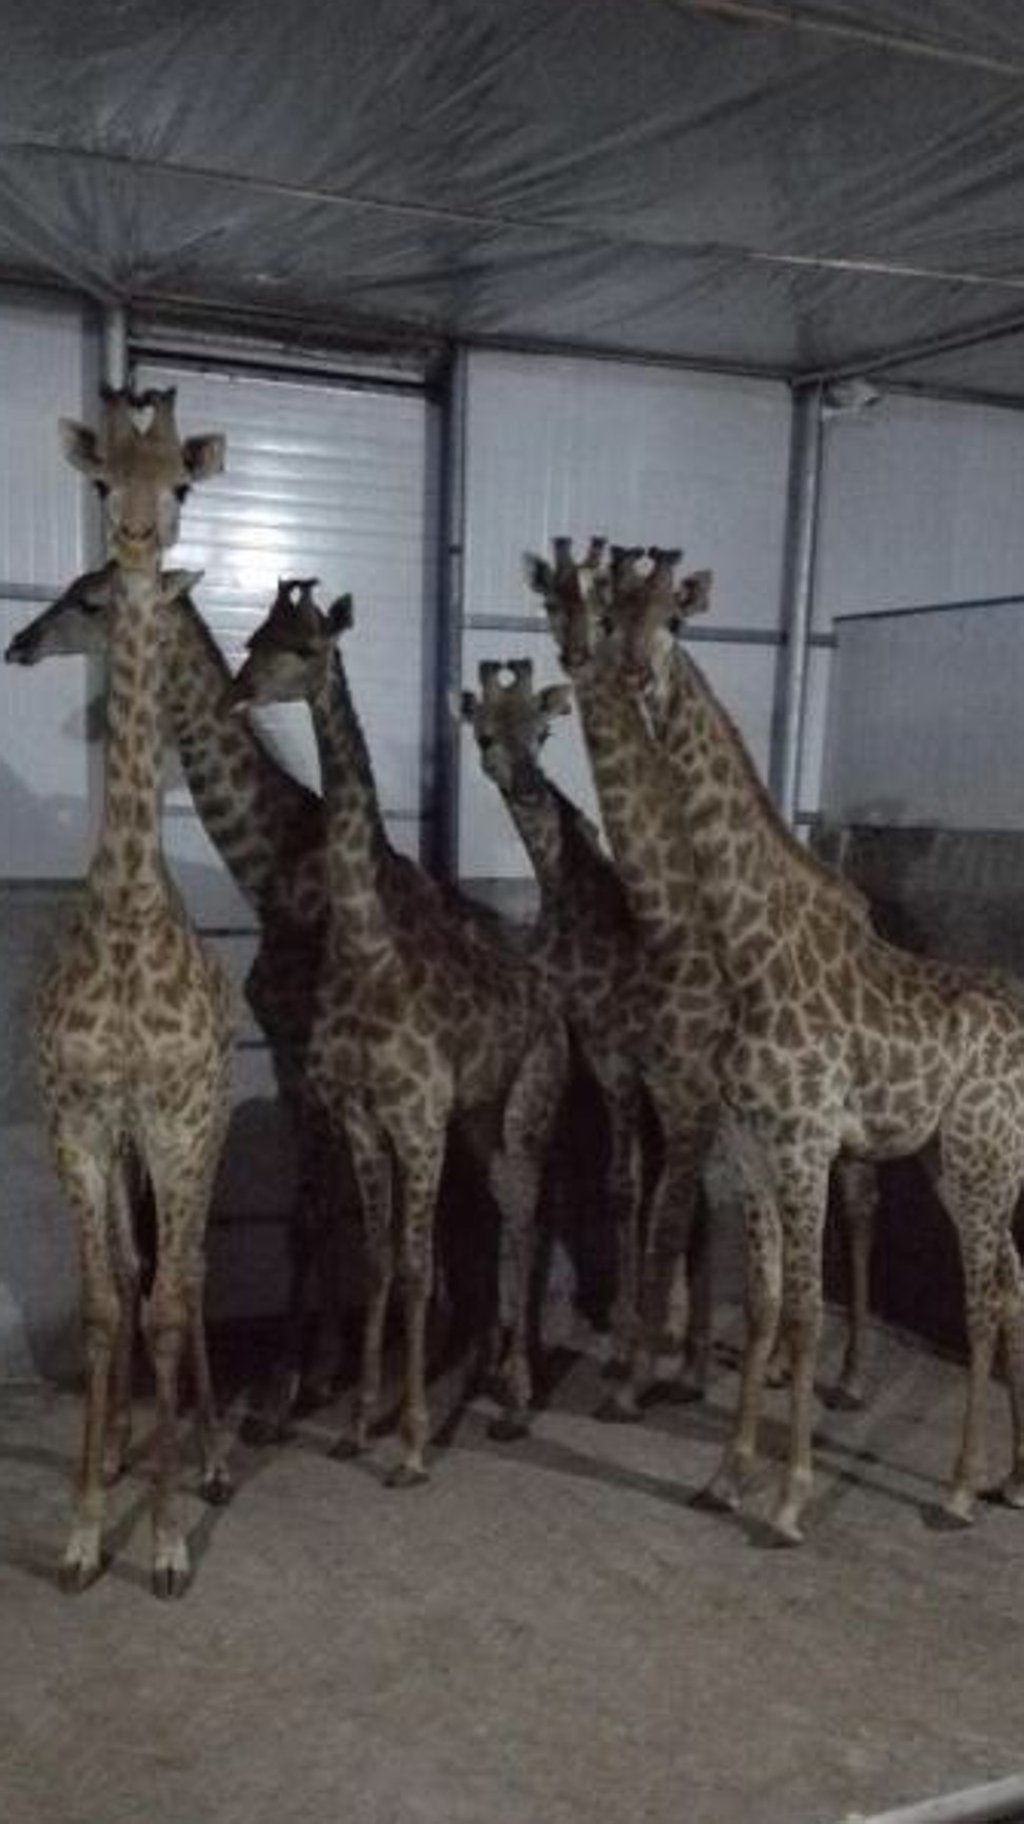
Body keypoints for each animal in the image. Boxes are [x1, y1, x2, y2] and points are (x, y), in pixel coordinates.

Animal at [6, 567, 352, 1431]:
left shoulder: (299, 1057)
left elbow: (308, 1213)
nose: (19, 642)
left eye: (88, 602)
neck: (272, 870)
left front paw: (279, 1390)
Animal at [230, 581, 570, 1483]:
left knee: (526, 1215)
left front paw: (412, 1442)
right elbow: (379, 1261)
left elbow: (416, 1269)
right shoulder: (358, 1115)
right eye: (253, 636)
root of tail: (548, 992)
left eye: (305, 648)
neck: (363, 948)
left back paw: (516, 1399)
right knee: (505, 1210)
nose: (241, 690)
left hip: (529, 1107)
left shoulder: (416, 1120)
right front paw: (357, 1424)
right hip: (480, 1117)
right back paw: (499, 1383)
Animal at [459, 656, 712, 1389]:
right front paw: (526, 1345)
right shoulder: (566, 1039)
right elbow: (553, 1190)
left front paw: (627, 1336)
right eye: (485, 734)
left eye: (543, 732)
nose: (525, 785)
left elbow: (622, 1187)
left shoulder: (611, 1047)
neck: (566, 894)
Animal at [593, 543, 1024, 1542]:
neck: (750, 956)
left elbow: (804, 1316)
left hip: (982, 1158)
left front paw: (789, 1498)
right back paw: (1012, 1478)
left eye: (676, 616)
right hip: (957, 1160)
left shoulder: (805, 1146)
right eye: (612, 613)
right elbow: (761, 1311)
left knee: (984, 1299)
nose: (633, 675)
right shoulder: (751, 1151)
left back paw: (958, 1488)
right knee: (1016, 1284)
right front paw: (727, 1476)